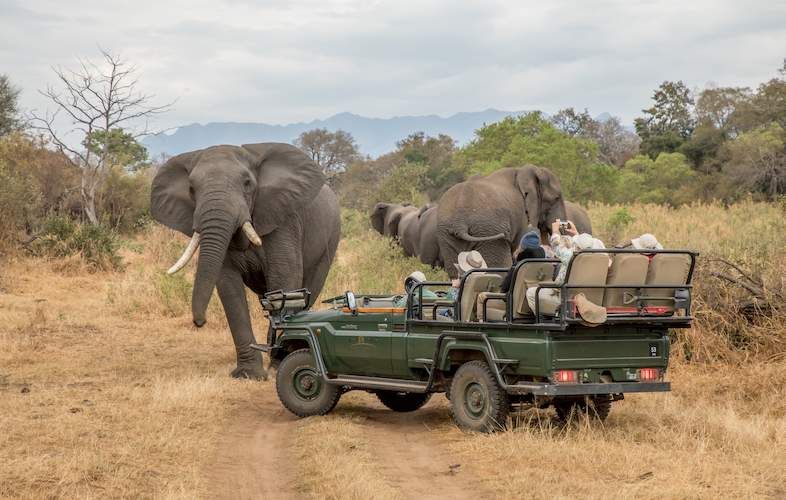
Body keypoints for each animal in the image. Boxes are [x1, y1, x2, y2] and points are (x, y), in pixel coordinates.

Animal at [150, 143, 341, 380]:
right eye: (192, 189)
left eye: (247, 183)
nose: (199, 322)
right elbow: (228, 286)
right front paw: (249, 374)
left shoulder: (284, 221)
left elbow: (284, 277)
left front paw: (278, 364)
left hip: (330, 241)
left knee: (309, 289)